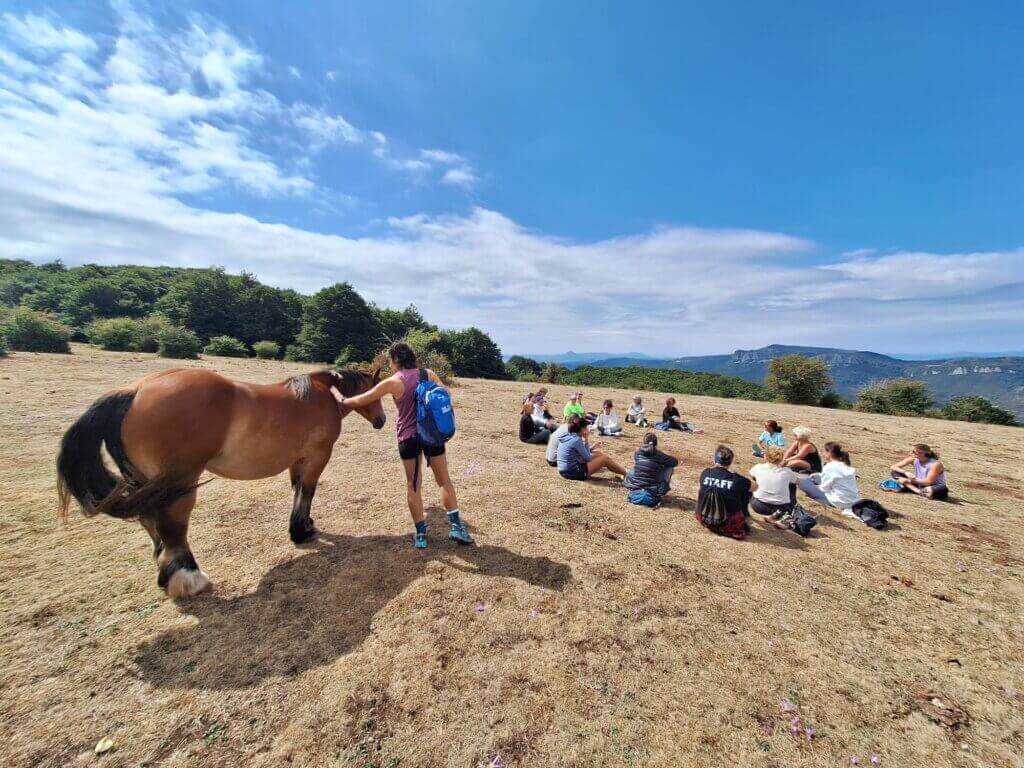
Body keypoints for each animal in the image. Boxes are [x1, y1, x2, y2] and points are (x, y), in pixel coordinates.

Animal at [56, 365, 386, 599]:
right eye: (377, 392)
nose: (381, 420)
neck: (322, 395)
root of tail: (134, 391)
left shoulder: (298, 460)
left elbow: (297, 492)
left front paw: (301, 527)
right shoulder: (317, 457)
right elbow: (307, 492)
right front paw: (302, 531)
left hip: (146, 484)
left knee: (152, 524)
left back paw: (166, 575)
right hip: (180, 483)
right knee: (173, 528)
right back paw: (190, 579)